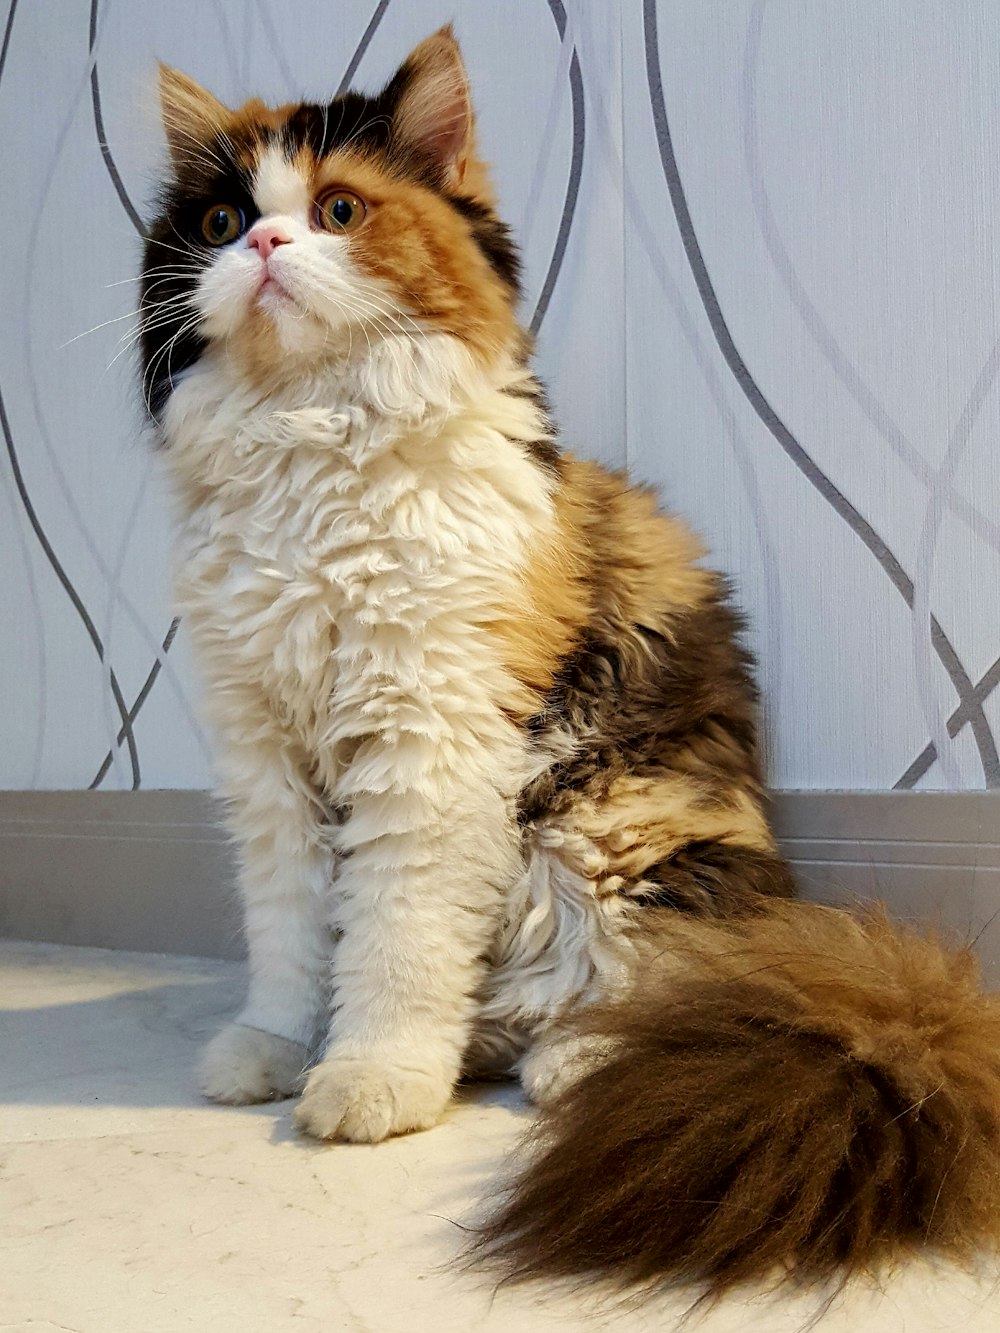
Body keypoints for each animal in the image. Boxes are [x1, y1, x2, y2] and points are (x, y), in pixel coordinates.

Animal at [141, 25, 1000, 1301]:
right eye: (215, 220)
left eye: (339, 209)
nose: (263, 245)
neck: (308, 441)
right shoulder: (264, 757)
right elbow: (292, 929)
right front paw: (283, 1044)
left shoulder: (427, 740)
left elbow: (395, 937)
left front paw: (370, 1073)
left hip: (608, 825)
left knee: (635, 987)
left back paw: (575, 1059)